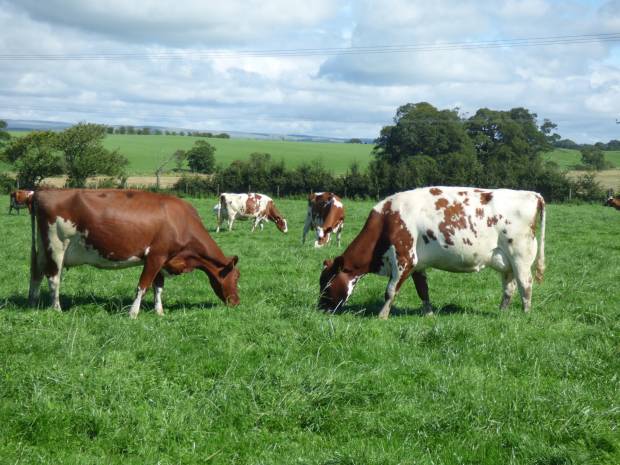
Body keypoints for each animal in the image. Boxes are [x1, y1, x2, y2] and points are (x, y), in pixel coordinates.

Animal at [30, 188, 241, 316]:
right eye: (237, 277)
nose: (237, 302)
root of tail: (41, 192)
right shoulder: (156, 256)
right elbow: (143, 285)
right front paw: (133, 313)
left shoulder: (163, 259)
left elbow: (158, 287)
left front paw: (159, 312)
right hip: (56, 246)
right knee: (53, 278)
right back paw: (57, 309)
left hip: (42, 249)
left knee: (36, 274)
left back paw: (33, 302)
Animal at [318, 187, 544, 318]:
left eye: (326, 284)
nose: (320, 308)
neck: (387, 220)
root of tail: (533, 194)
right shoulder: (418, 264)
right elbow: (423, 290)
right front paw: (429, 314)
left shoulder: (404, 259)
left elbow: (390, 291)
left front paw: (382, 316)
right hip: (505, 262)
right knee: (509, 288)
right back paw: (502, 313)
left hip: (520, 257)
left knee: (526, 285)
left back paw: (526, 315)